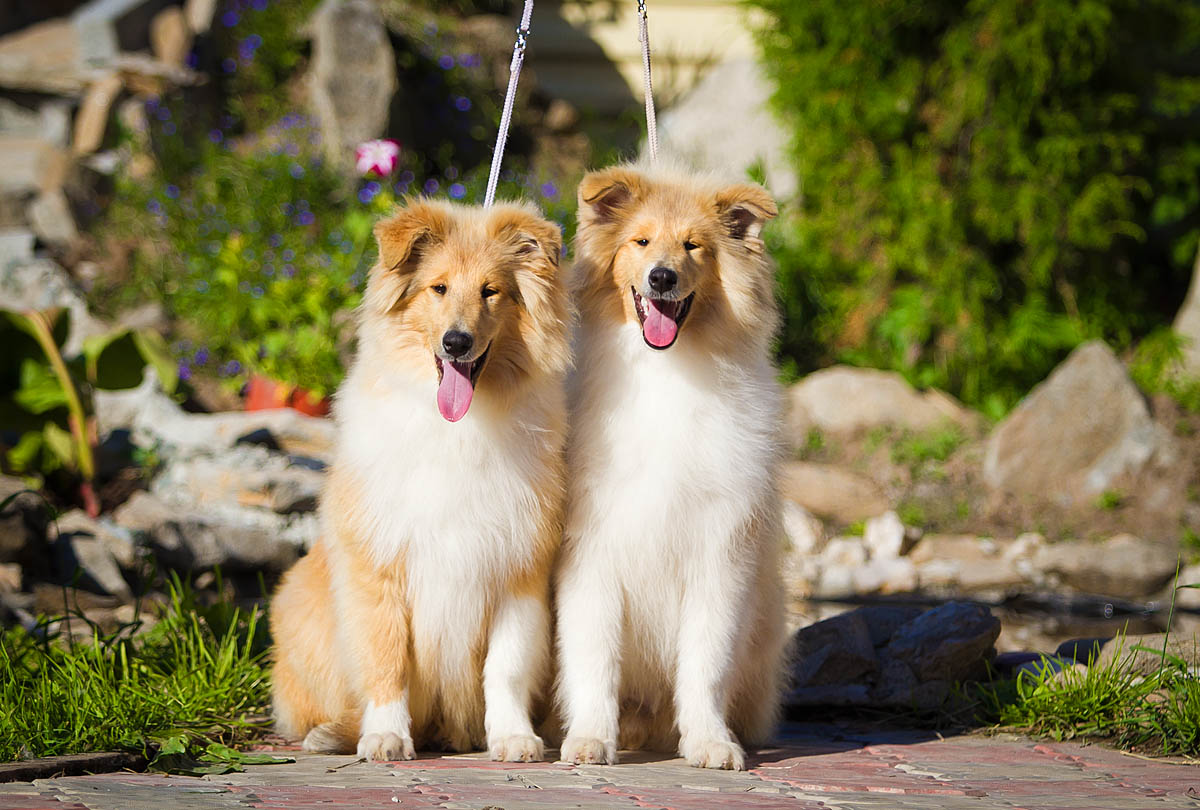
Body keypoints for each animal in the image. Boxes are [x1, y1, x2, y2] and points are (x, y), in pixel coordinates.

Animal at [272, 199, 571, 763]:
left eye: (491, 291)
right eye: (438, 288)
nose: (456, 342)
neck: (458, 427)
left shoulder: (517, 570)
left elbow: (507, 667)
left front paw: (514, 737)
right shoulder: (379, 565)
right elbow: (384, 659)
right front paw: (386, 737)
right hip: (301, 608)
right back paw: (333, 734)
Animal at [556, 163, 792, 772]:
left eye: (693, 246)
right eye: (640, 242)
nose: (662, 278)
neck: (665, 370)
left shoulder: (720, 553)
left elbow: (705, 662)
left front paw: (710, 742)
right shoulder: (591, 553)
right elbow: (593, 658)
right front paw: (590, 739)